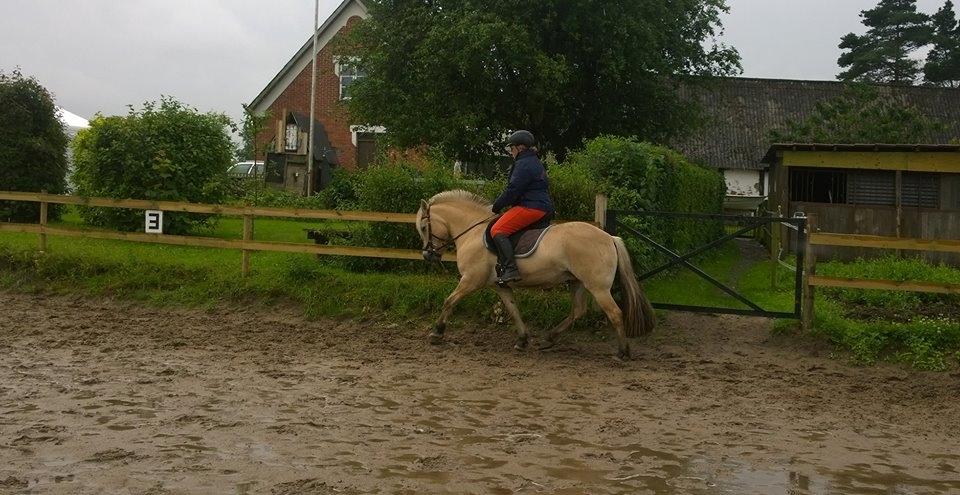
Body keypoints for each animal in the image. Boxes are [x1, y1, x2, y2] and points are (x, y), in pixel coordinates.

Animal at [416, 191, 656, 360]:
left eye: (424, 227)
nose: (428, 255)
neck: (472, 232)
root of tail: (609, 237)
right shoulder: (500, 285)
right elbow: (513, 310)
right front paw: (522, 340)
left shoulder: (470, 281)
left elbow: (449, 301)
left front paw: (437, 332)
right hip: (577, 282)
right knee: (579, 310)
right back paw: (549, 338)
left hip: (598, 287)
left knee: (615, 313)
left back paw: (622, 352)